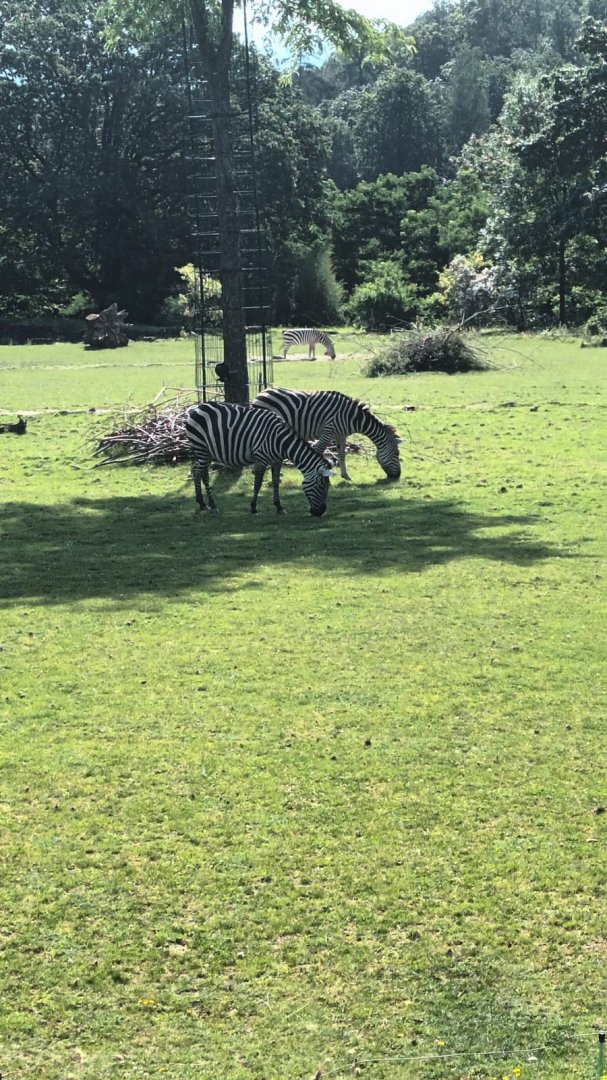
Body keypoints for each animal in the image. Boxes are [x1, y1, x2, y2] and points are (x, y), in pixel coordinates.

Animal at [184, 402, 332, 517]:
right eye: (321, 486)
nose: (320, 512)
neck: (281, 441)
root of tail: (197, 408)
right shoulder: (261, 459)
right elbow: (258, 483)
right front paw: (254, 507)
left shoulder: (277, 461)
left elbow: (275, 482)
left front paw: (279, 507)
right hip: (201, 448)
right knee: (198, 472)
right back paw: (209, 505)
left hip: (207, 452)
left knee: (200, 472)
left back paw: (205, 504)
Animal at [252, 388, 402, 482]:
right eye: (397, 454)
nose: (397, 476)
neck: (352, 418)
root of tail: (262, 392)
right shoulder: (327, 431)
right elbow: (318, 451)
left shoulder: (341, 435)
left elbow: (342, 455)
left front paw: (345, 476)